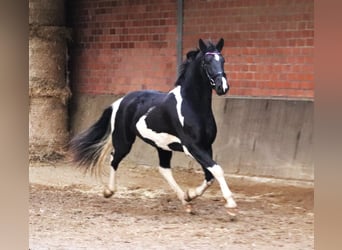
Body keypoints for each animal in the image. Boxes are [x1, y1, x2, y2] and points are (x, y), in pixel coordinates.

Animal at [69, 37, 238, 219]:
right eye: (207, 62)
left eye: (223, 60)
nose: (222, 87)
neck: (192, 106)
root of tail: (121, 101)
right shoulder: (192, 147)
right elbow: (217, 170)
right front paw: (231, 205)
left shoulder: (206, 146)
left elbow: (210, 174)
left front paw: (190, 195)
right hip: (124, 140)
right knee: (114, 158)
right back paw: (109, 191)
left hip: (162, 146)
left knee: (164, 169)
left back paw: (186, 202)